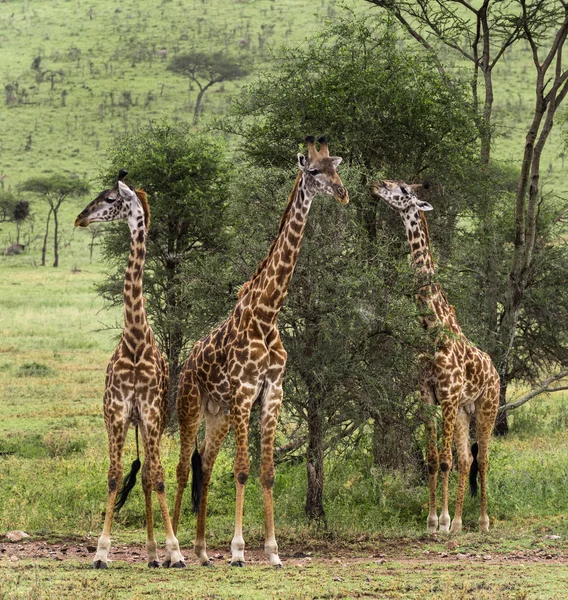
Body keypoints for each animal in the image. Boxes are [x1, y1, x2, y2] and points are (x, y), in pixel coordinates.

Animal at [74, 172, 185, 568]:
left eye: (109, 199)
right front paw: (101, 552)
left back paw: (157, 554)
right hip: (135, 423)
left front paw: (175, 551)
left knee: (151, 476)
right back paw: (150, 554)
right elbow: (113, 476)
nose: (79, 218)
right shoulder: (117, 413)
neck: (136, 340)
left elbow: (159, 477)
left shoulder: (151, 413)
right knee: (142, 475)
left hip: (151, 423)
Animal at [171, 136, 348, 568]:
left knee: (205, 464)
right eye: (314, 171)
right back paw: (174, 549)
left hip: (217, 413)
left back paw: (202, 551)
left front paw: (272, 551)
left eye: (336, 169)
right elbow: (242, 469)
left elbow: (265, 472)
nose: (343, 194)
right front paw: (237, 550)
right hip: (190, 405)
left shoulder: (272, 392)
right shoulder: (244, 391)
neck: (268, 313)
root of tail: (187, 364)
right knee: (183, 468)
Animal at [370, 179, 500, 536]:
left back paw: (481, 521)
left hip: (487, 407)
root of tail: (496, 372)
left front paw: (441, 520)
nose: (376, 184)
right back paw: (458, 521)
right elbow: (432, 460)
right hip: (465, 412)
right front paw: (432, 521)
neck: (431, 328)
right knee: (467, 459)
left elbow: (444, 460)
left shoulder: (449, 396)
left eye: (402, 189)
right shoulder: (427, 395)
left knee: (482, 458)